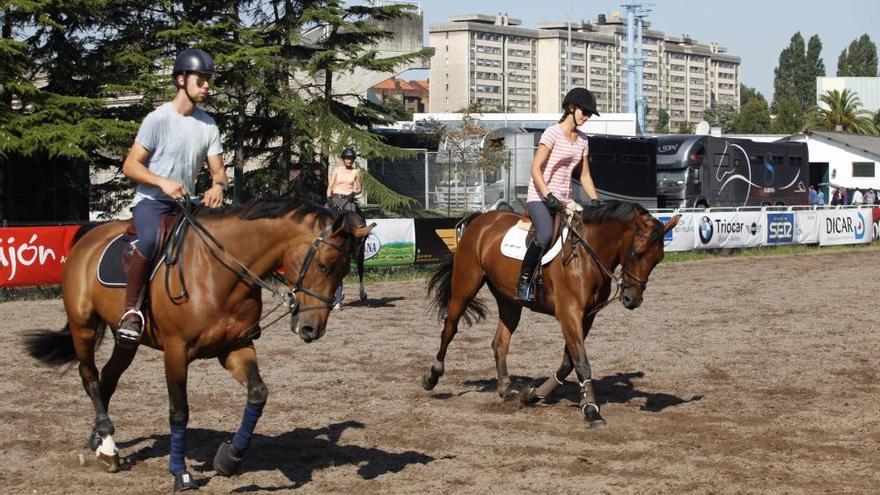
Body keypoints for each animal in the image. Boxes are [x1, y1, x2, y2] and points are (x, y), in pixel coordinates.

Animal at [20, 199, 372, 492]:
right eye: (324, 265)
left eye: (345, 269)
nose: (312, 329)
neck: (221, 272)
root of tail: (89, 235)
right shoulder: (176, 352)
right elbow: (179, 412)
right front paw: (181, 473)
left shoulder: (235, 347)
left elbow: (258, 393)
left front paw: (229, 459)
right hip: (84, 326)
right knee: (90, 377)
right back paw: (107, 446)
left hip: (125, 340)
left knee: (108, 379)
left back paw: (100, 439)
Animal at [422, 201, 676, 426]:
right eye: (636, 253)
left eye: (659, 259)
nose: (632, 300)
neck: (586, 255)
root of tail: (480, 220)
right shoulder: (569, 313)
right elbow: (581, 362)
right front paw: (592, 411)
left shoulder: (587, 317)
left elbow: (568, 362)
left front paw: (533, 395)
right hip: (465, 287)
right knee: (449, 329)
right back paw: (432, 377)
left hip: (509, 301)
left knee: (500, 342)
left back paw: (506, 389)